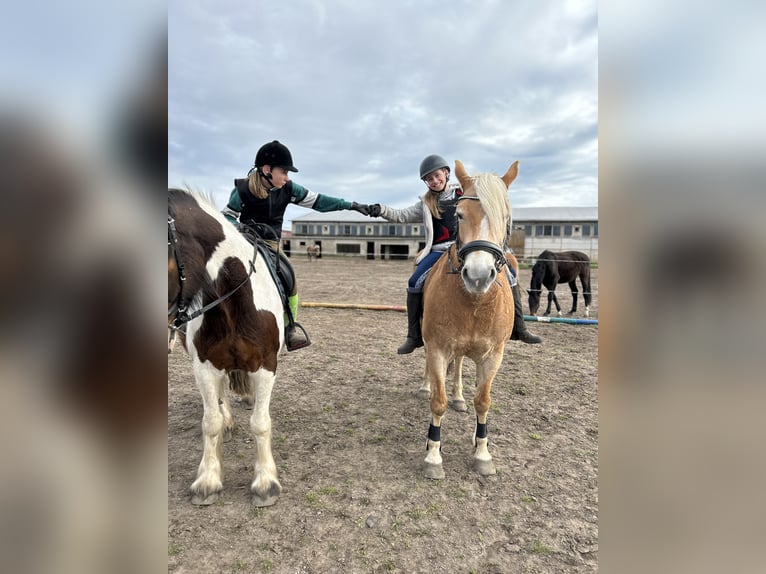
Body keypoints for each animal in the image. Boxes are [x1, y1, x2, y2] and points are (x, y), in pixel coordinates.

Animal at [168, 189, 284, 508]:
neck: (232, 304)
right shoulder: (205, 367)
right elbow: (211, 422)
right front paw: (208, 480)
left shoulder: (266, 366)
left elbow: (260, 422)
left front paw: (265, 483)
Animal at [420, 159, 520, 482]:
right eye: (460, 215)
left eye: (506, 218)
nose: (478, 275)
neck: (474, 303)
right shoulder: (438, 348)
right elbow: (437, 403)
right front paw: (433, 455)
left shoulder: (493, 355)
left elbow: (483, 400)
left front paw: (482, 453)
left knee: (462, 365)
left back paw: (459, 398)